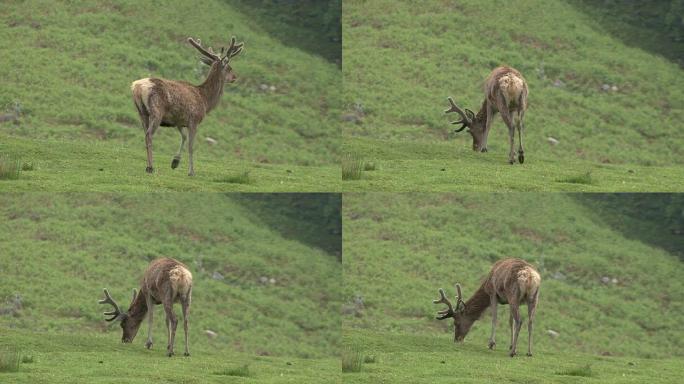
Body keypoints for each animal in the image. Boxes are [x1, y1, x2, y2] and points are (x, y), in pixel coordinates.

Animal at [130, 35, 243, 176]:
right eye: (229, 67)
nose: (235, 77)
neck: (205, 100)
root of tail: (137, 87)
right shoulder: (194, 119)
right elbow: (191, 145)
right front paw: (191, 171)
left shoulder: (179, 121)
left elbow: (183, 137)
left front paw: (175, 162)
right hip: (157, 111)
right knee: (149, 135)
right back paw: (151, 167)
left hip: (141, 112)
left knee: (145, 133)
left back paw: (148, 165)